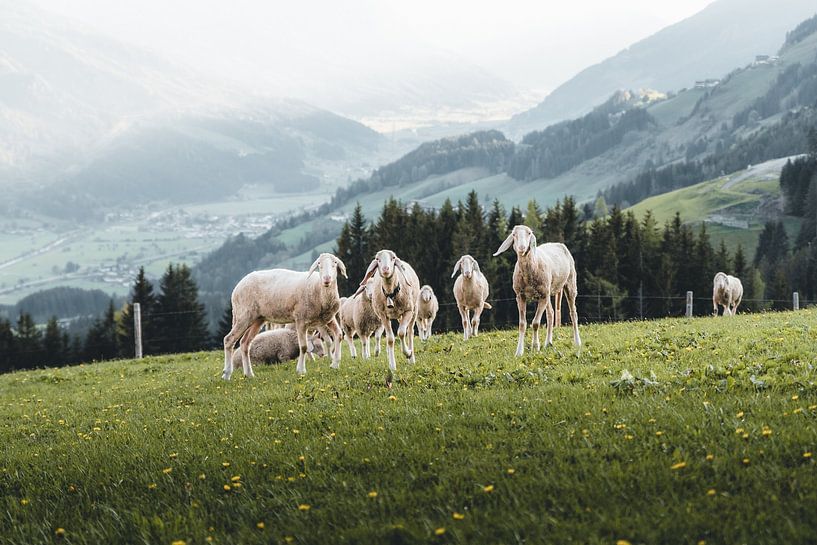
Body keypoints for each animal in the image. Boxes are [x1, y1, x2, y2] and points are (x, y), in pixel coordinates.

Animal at [490, 223, 580, 354]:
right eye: (514, 234)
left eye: (529, 233)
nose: (522, 247)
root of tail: (558, 244)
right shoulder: (520, 296)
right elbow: (522, 324)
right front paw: (519, 351)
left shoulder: (542, 296)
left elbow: (536, 323)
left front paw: (535, 347)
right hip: (547, 292)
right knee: (551, 313)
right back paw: (548, 343)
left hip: (570, 283)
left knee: (573, 313)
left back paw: (577, 342)